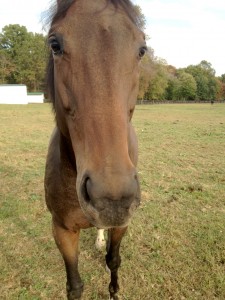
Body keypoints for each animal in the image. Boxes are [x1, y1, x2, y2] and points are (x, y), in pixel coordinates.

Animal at [44, 1, 146, 298]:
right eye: (54, 44)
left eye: (141, 49)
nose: (111, 198)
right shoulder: (62, 229)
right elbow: (75, 285)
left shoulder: (123, 223)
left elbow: (113, 260)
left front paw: (114, 291)